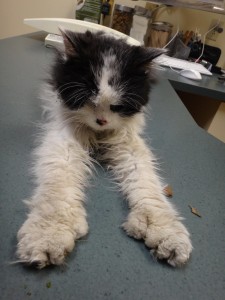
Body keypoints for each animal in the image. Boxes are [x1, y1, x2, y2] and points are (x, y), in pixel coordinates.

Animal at [16, 31, 192, 270]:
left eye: (117, 107)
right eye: (89, 101)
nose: (102, 121)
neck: (98, 135)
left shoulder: (128, 143)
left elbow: (148, 189)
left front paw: (165, 233)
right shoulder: (65, 141)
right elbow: (58, 193)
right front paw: (49, 237)